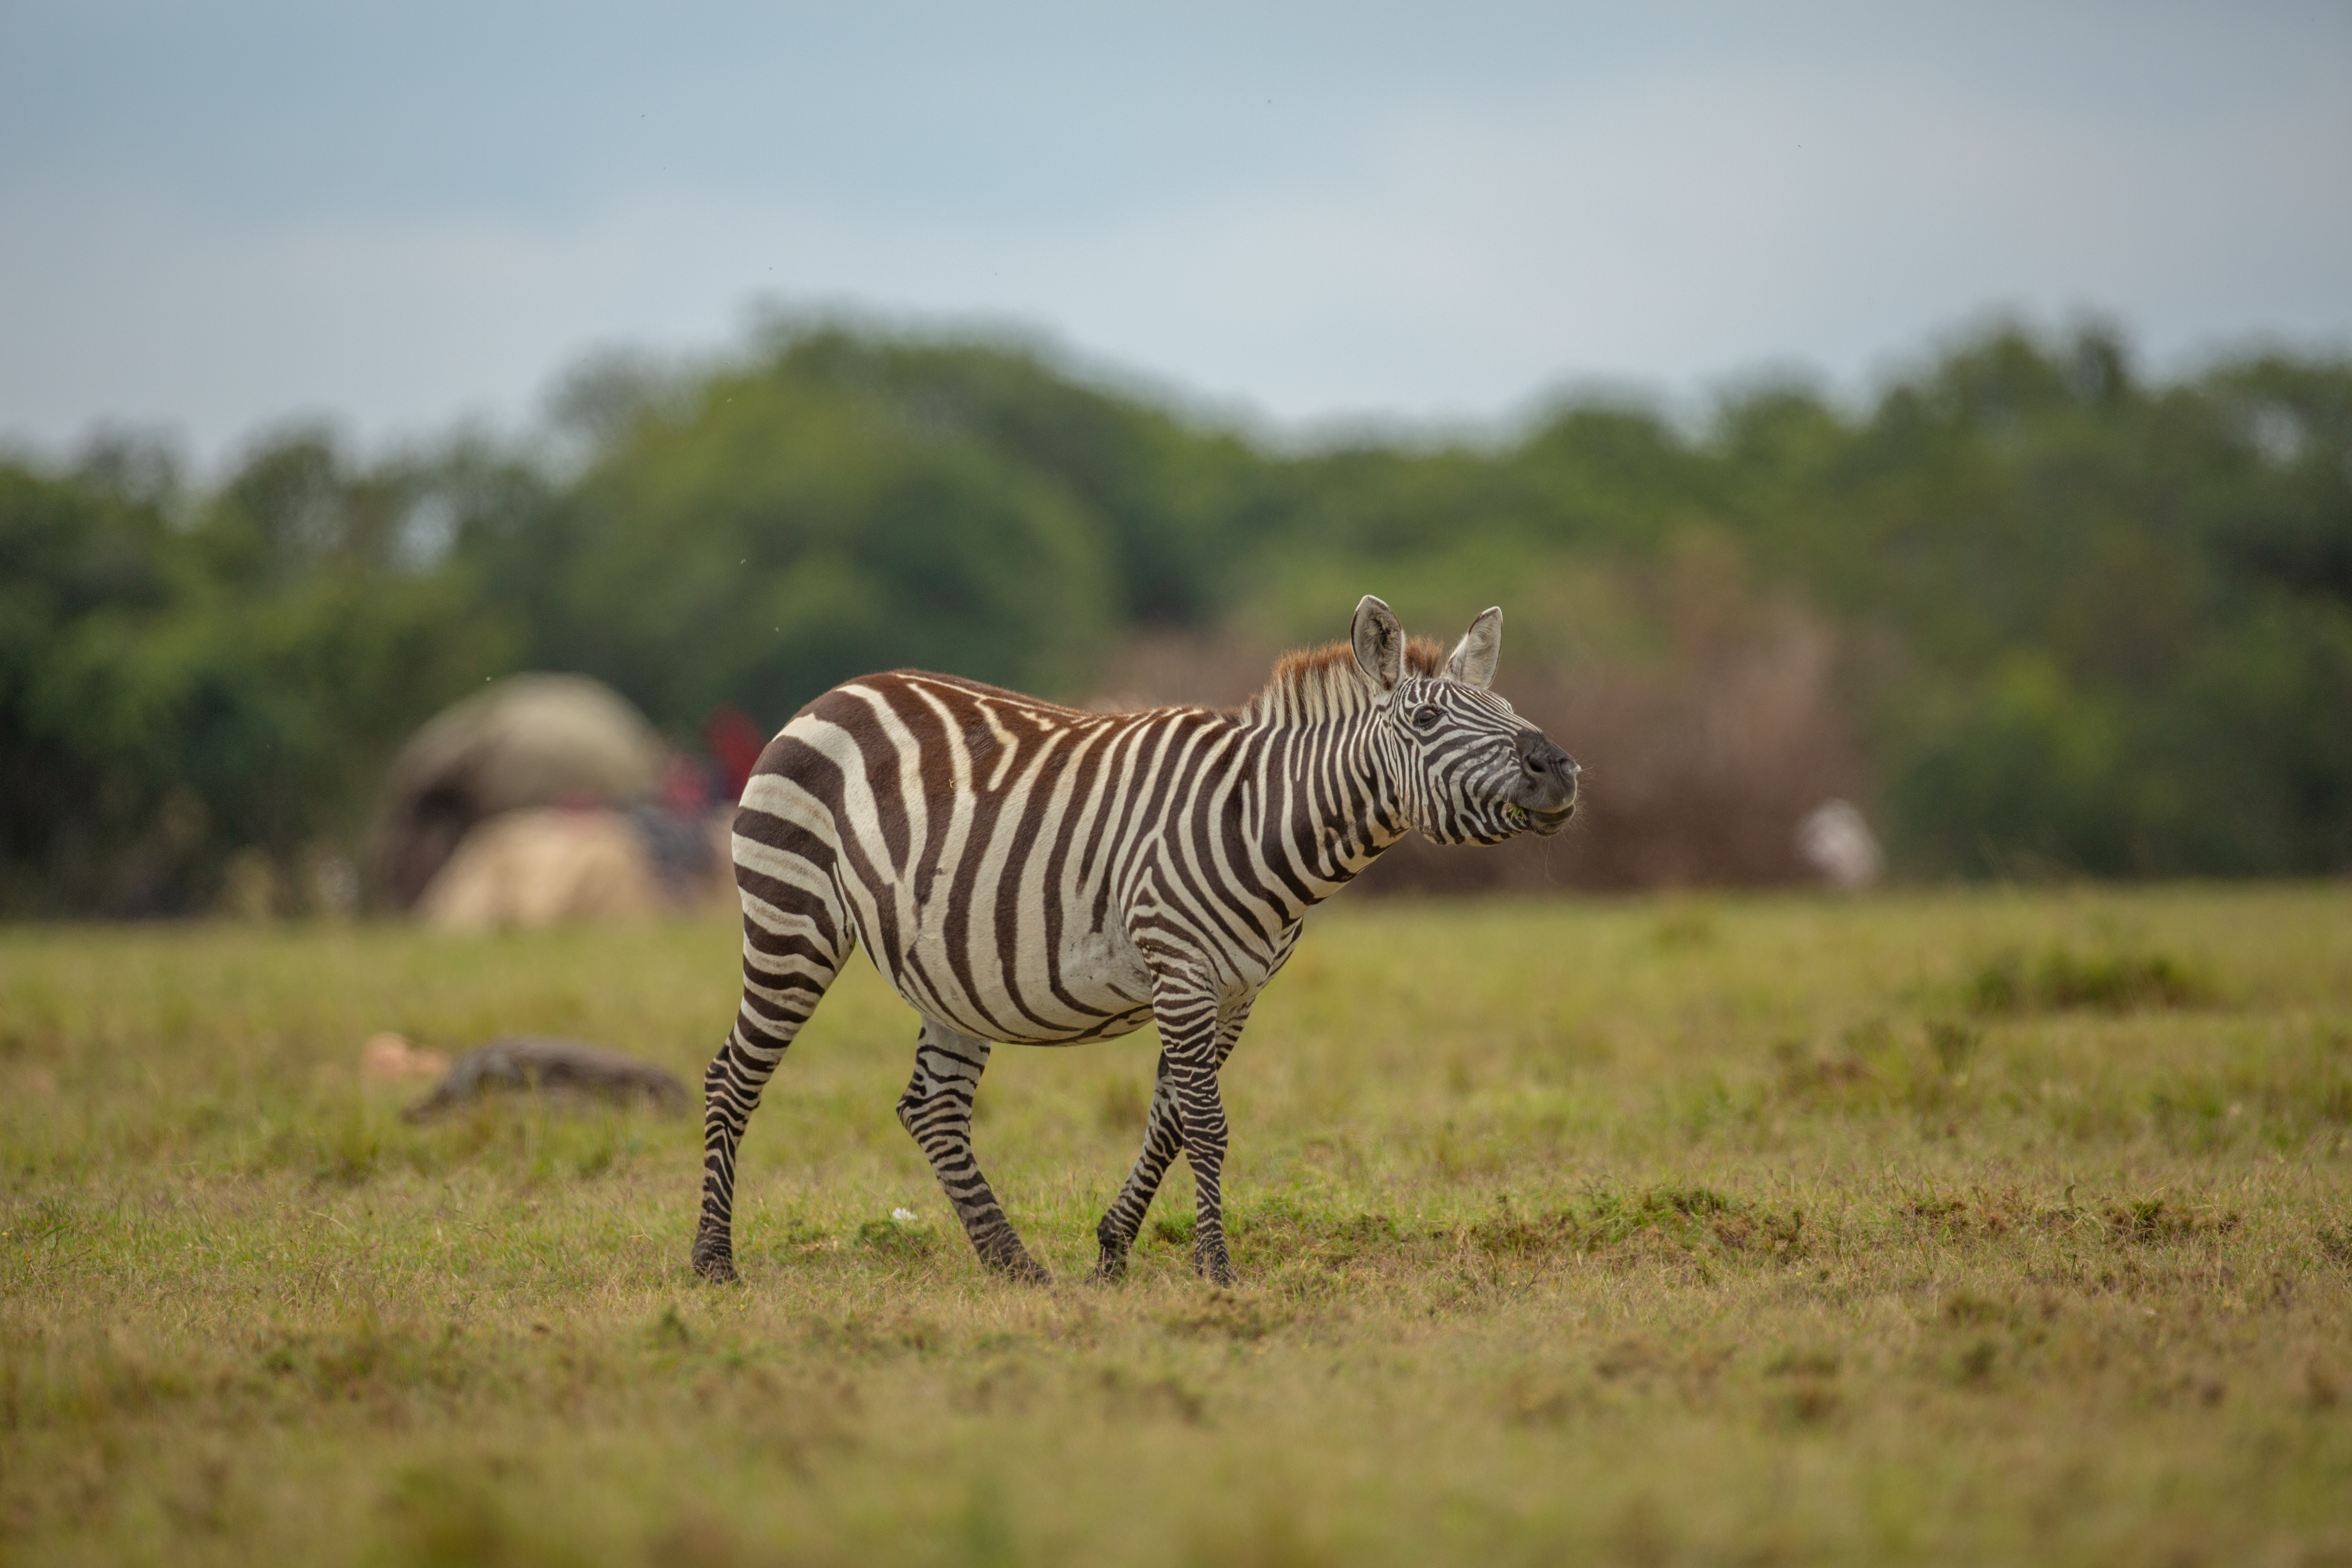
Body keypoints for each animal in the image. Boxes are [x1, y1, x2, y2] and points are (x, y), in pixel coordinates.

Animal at [691, 595, 1579, 1286]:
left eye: (1506, 712)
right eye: (1426, 719)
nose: (1561, 770)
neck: (1256, 821)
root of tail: (836, 692)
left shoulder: (1235, 993)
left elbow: (1173, 1120)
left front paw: (1113, 1252)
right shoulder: (1181, 969)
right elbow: (1207, 1125)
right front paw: (1216, 1269)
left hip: (945, 967)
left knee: (933, 1109)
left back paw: (1014, 1265)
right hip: (792, 918)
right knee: (733, 1076)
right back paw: (713, 1262)